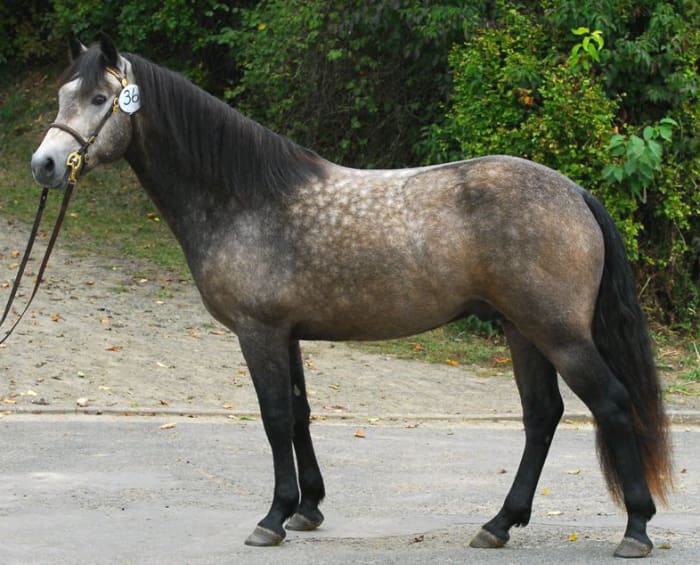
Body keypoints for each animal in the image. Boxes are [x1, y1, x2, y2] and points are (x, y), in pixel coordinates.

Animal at [30, 36, 668, 560]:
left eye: (98, 98)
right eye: (63, 93)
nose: (45, 165)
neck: (245, 199)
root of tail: (574, 192)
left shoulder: (259, 333)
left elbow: (274, 418)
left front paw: (273, 516)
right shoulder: (287, 335)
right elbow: (300, 415)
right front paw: (308, 508)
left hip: (558, 335)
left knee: (611, 403)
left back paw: (636, 528)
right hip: (523, 331)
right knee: (542, 416)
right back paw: (499, 524)